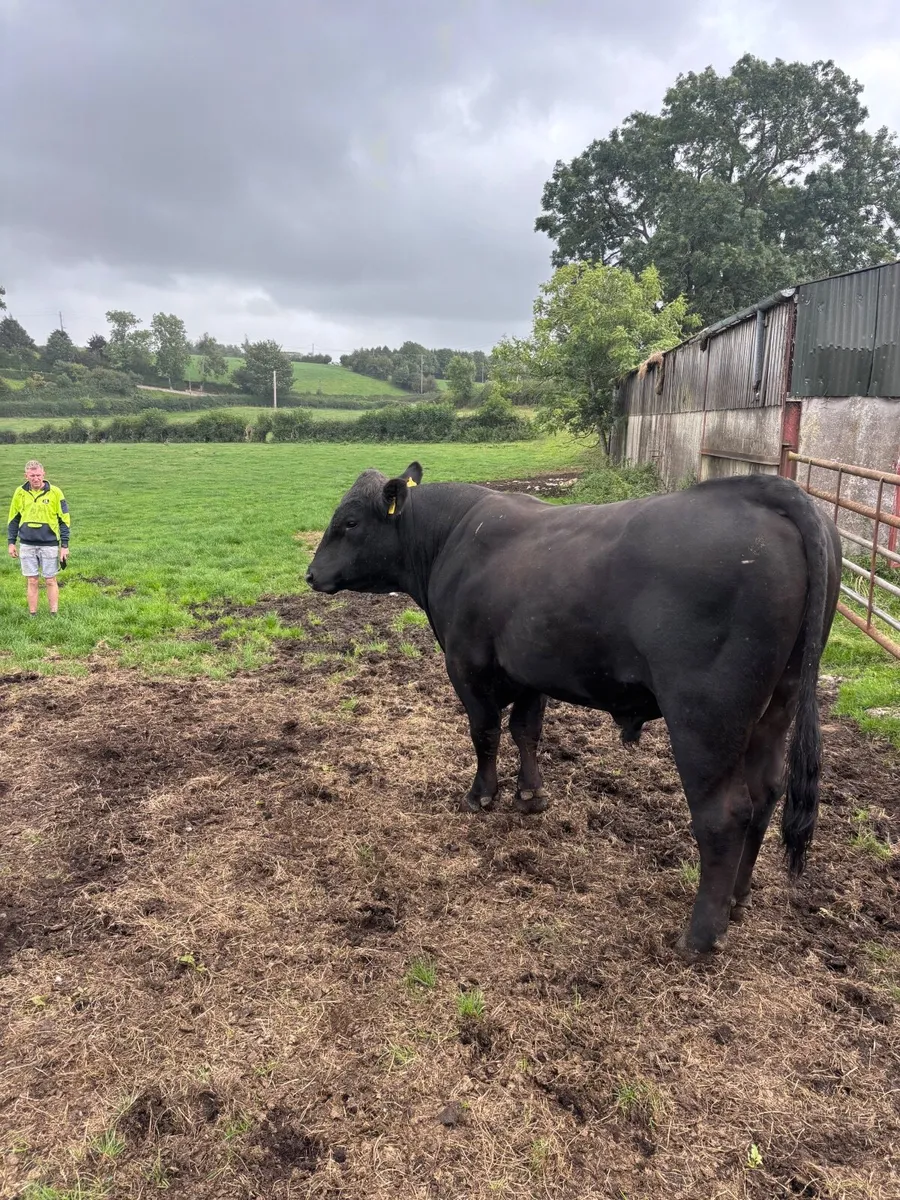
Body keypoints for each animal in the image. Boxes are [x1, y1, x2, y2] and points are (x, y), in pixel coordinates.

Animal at [306, 463, 841, 957]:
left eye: (349, 522)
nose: (310, 573)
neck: (452, 538)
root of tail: (766, 490)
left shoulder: (467, 665)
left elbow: (485, 733)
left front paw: (481, 796)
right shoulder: (528, 671)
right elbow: (526, 731)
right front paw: (530, 795)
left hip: (705, 716)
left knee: (724, 814)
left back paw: (701, 936)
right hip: (778, 703)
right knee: (766, 791)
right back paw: (738, 897)